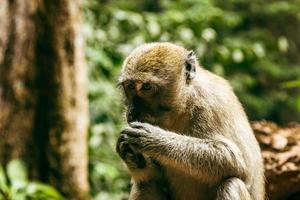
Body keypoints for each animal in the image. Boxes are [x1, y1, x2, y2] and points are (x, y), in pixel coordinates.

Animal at [116, 41, 264, 199]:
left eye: (146, 87)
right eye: (131, 86)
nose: (132, 112)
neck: (183, 104)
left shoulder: (210, 104)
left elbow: (238, 162)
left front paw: (153, 139)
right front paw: (131, 155)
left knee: (232, 183)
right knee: (145, 185)